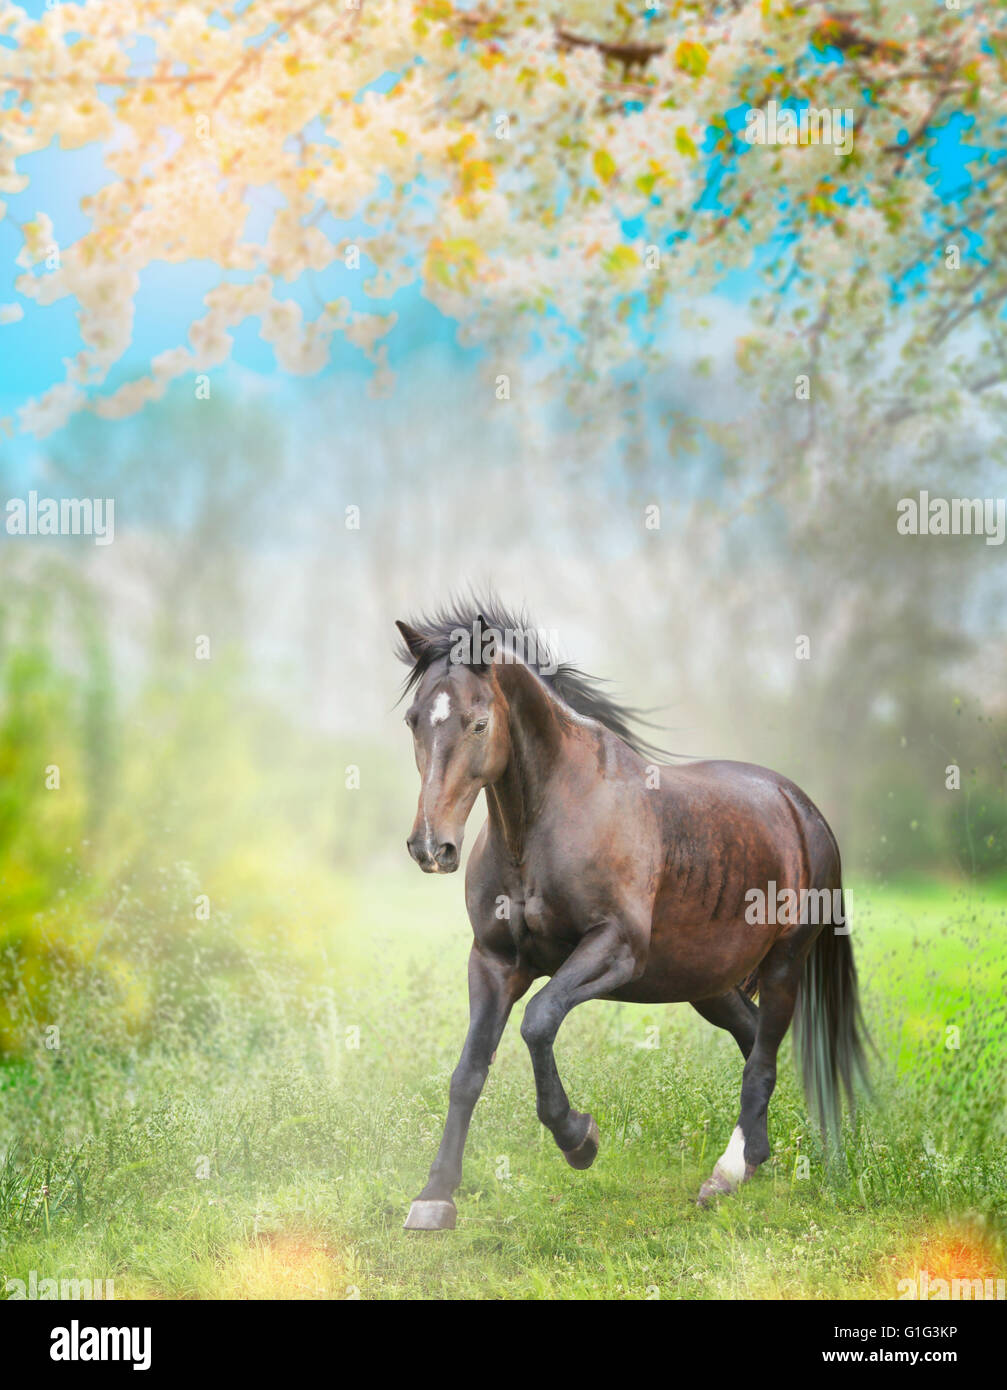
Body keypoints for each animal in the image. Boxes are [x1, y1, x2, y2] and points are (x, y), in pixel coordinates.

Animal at [395, 599, 868, 1231]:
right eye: (414, 720)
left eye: (477, 723)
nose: (431, 847)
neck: (540, 826)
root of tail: (803, 809)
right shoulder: (493, 962)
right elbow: (468, 1072)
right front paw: (435, 1196)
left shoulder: (614, 949)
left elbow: (539, 1021)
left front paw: (578, 1138)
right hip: (709, 985)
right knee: (753, 1043)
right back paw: (753, 1158)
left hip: (784, 967)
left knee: (763, 1061)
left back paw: (726, 1174)